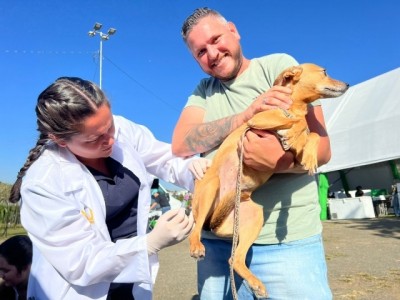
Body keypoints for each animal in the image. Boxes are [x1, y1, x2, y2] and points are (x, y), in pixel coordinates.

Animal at [189, 63, 348, 298]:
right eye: (324, 72)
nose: (347, 84)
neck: (295, 104)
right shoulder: (257, 120)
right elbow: (295, 120)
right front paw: (293, 128)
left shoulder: (295, 154)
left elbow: (312, 135)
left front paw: (308, 152)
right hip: (211, 188)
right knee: (196, 228)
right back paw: (196, 246)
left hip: (253, 217)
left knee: (235, 259)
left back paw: (257, 284)